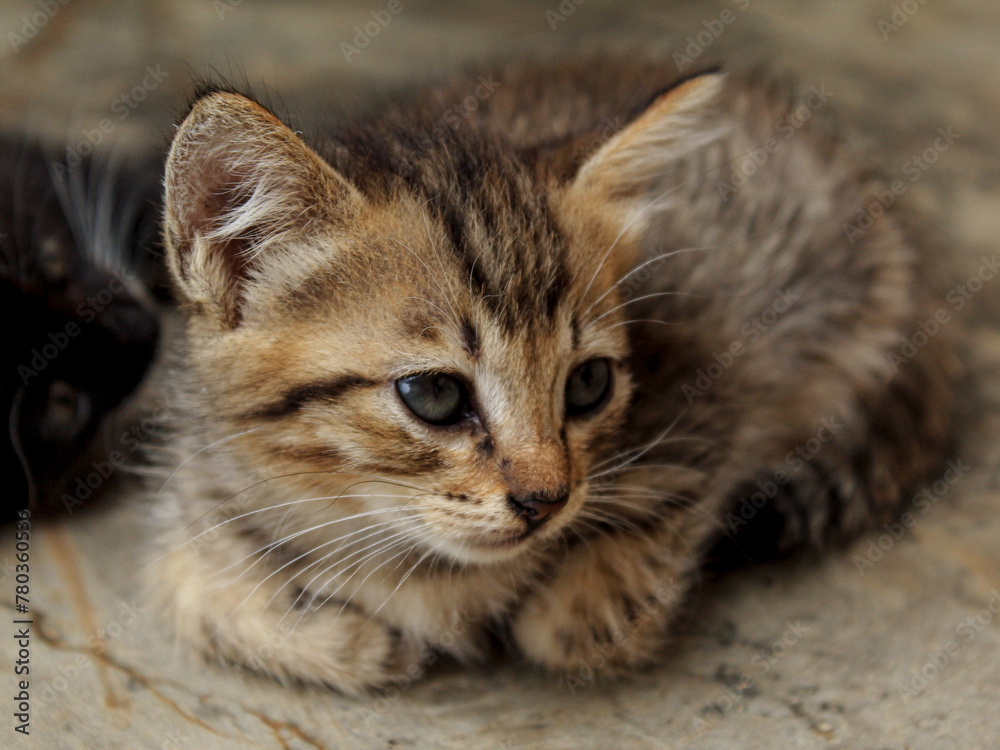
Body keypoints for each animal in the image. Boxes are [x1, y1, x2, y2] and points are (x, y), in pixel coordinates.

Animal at [148, 58, 952, 692]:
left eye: (588, 385)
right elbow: (191, 592)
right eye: (434, 394)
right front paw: (351, 640)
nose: (546, 500)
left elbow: (578, 619)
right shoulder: (201, 489)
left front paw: (592, 595)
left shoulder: (721, 374)